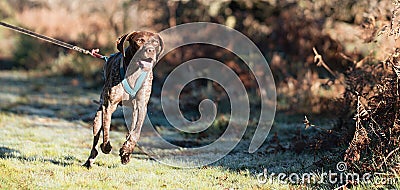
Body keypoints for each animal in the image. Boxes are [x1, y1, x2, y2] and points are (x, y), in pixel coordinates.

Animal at [83, 31, 164, 169]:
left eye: (155, 42)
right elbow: (106, 129)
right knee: (95, 142)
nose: (150, 50)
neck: (134, 72)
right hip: (97, 119)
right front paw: (106, 147)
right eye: (140, 40)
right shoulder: (108, 105)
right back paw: (90, 161)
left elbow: (136, 133)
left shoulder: (141, 106)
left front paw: (126, 151)